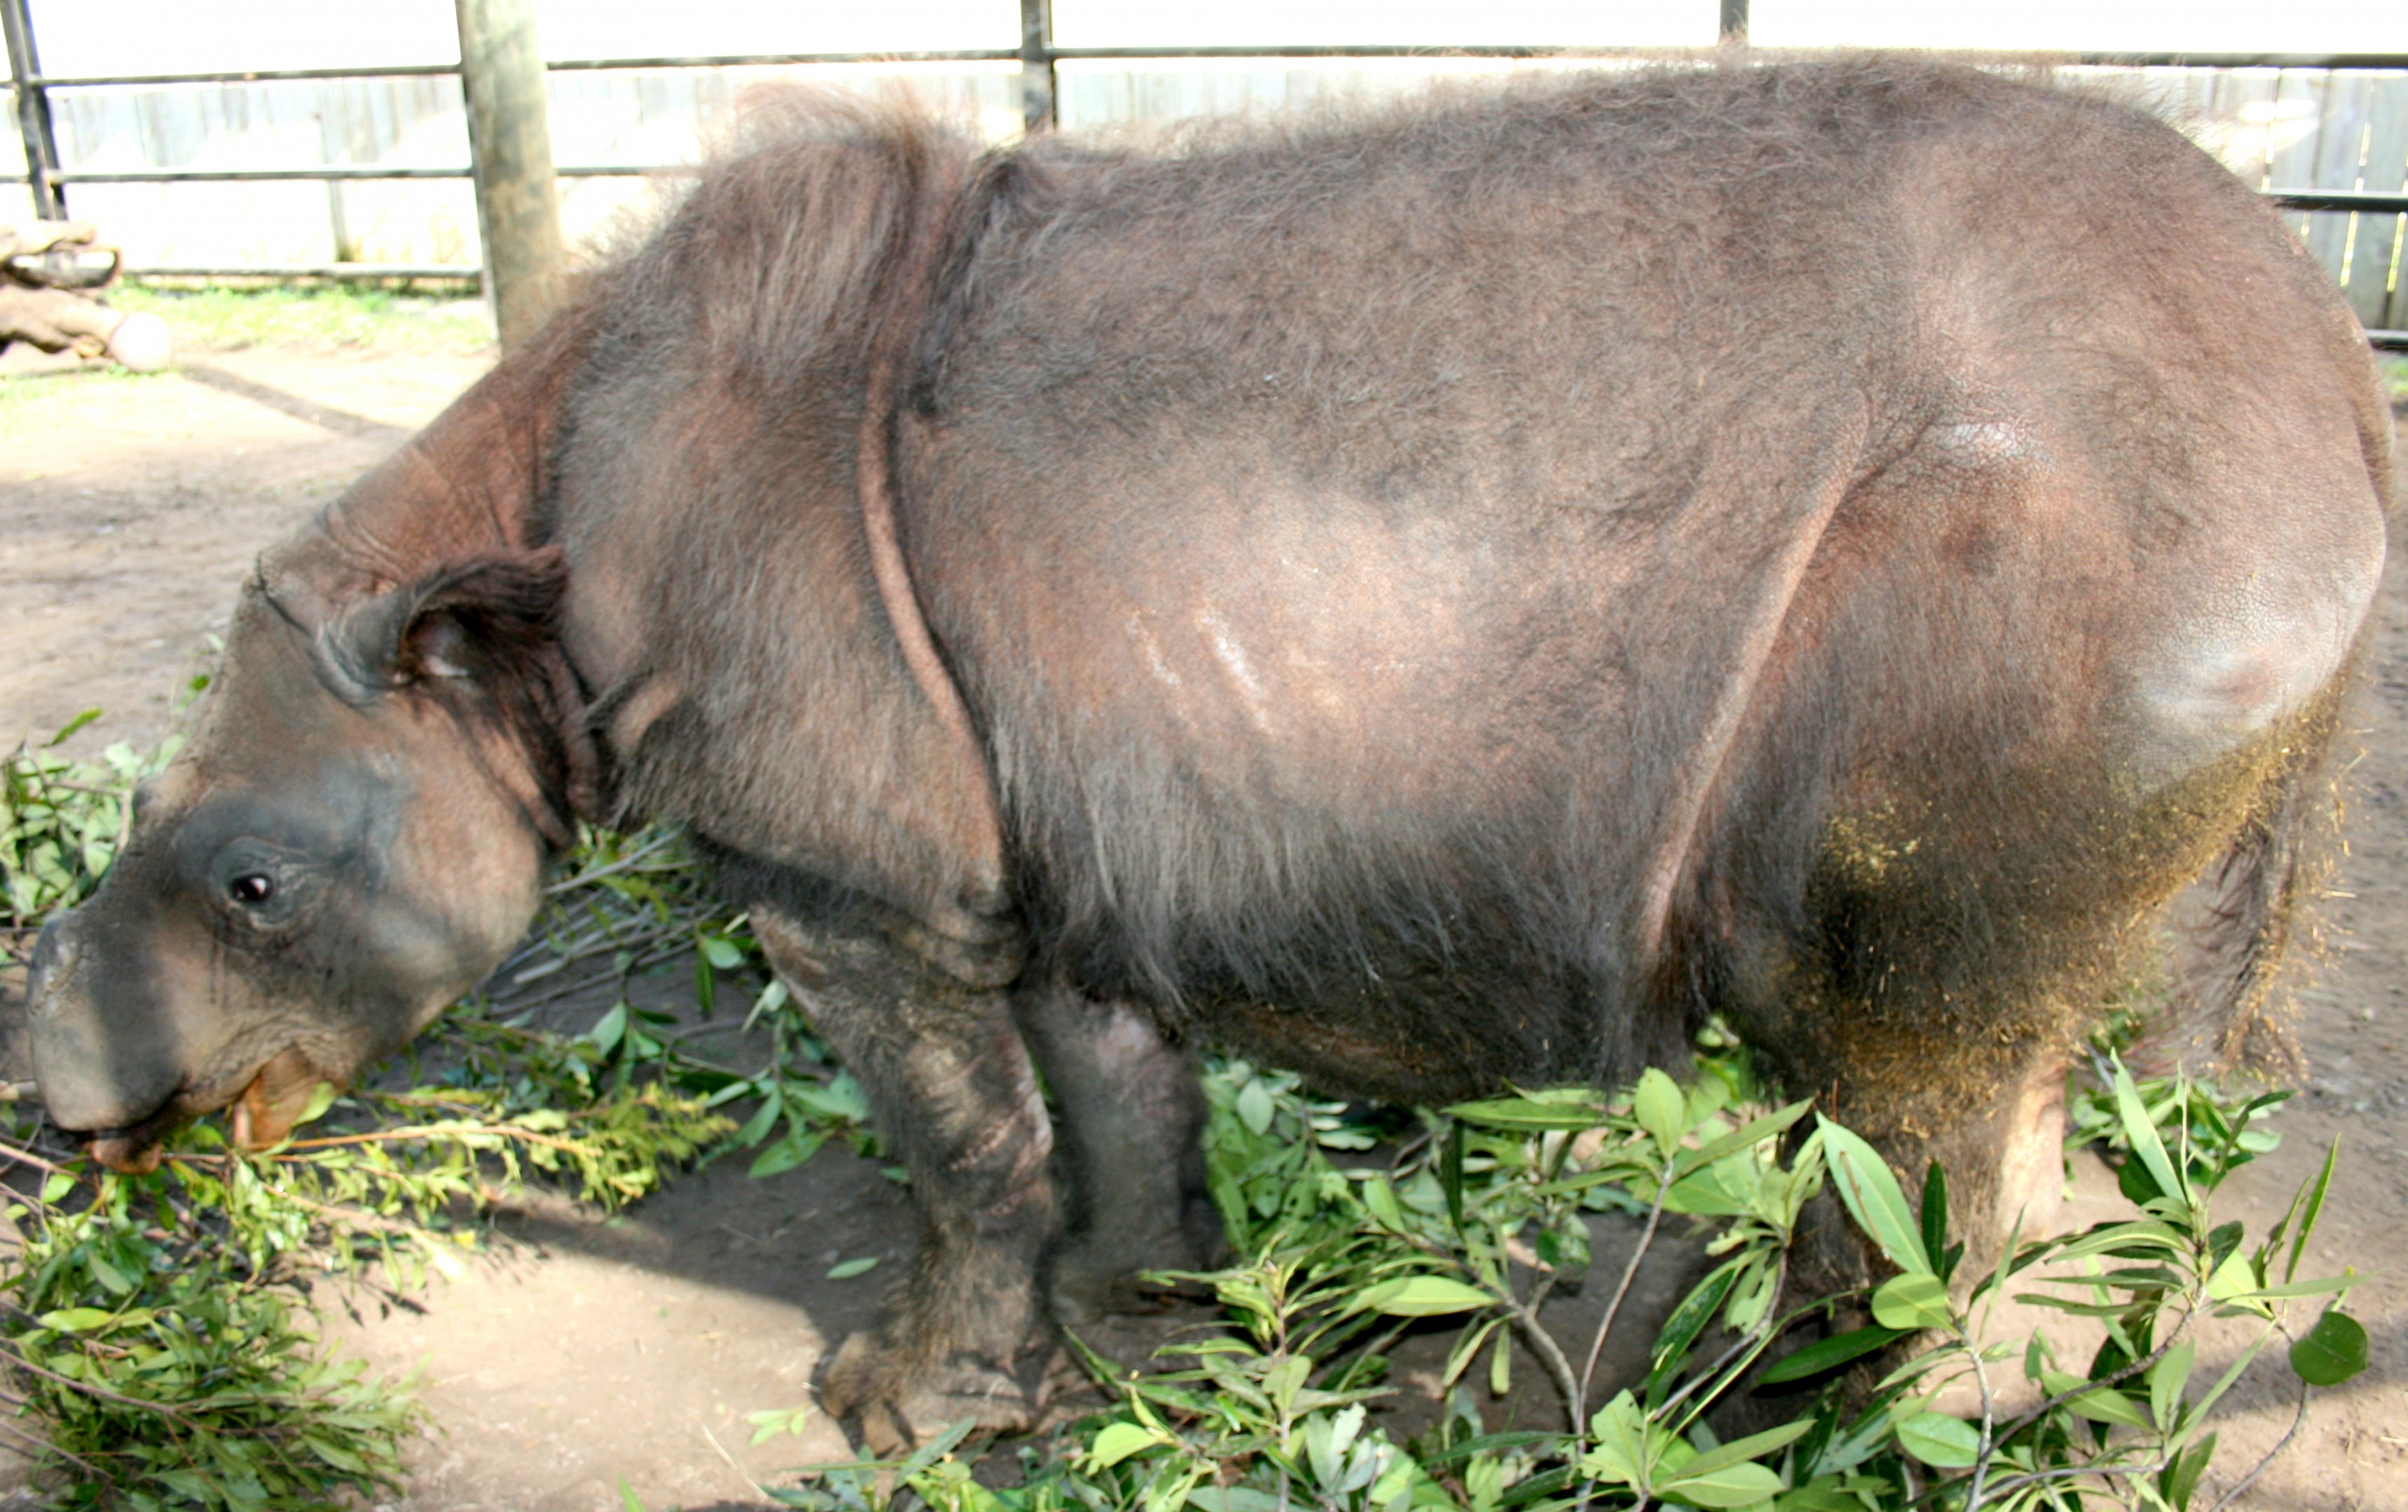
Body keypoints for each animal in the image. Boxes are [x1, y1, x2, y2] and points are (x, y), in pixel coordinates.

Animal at [23, 57, 2393, 1446]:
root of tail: (2326, 363)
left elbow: (952, 1143)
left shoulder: (846, 881)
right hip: (2177, 543)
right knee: (2018, 1056)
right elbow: (1100, 1100)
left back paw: (1735, 1433)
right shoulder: (1047, 824)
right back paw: (1961, 1408)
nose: (68, 1109)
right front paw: (1147, 1343)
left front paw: (897, 1413)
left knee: (1883, 1043)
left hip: (2071, 535)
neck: (495, 574)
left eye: (254, 887)